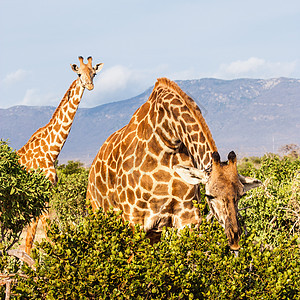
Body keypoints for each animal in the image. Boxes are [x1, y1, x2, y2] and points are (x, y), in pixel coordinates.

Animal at [18, 56, 104, 253]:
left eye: (94, 73)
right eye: (79, 73)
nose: (90, 86)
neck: (52, 150)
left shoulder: (44, 193)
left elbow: (31, 237)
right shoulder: (42, 191)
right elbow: (48, 233)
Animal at [86, 78, 260, 251]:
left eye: (241, 195)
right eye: (209, 196)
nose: (235, 240)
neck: (168, 138)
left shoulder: (187, 217)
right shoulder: (133, 219)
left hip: (153, 234)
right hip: (100, 217)